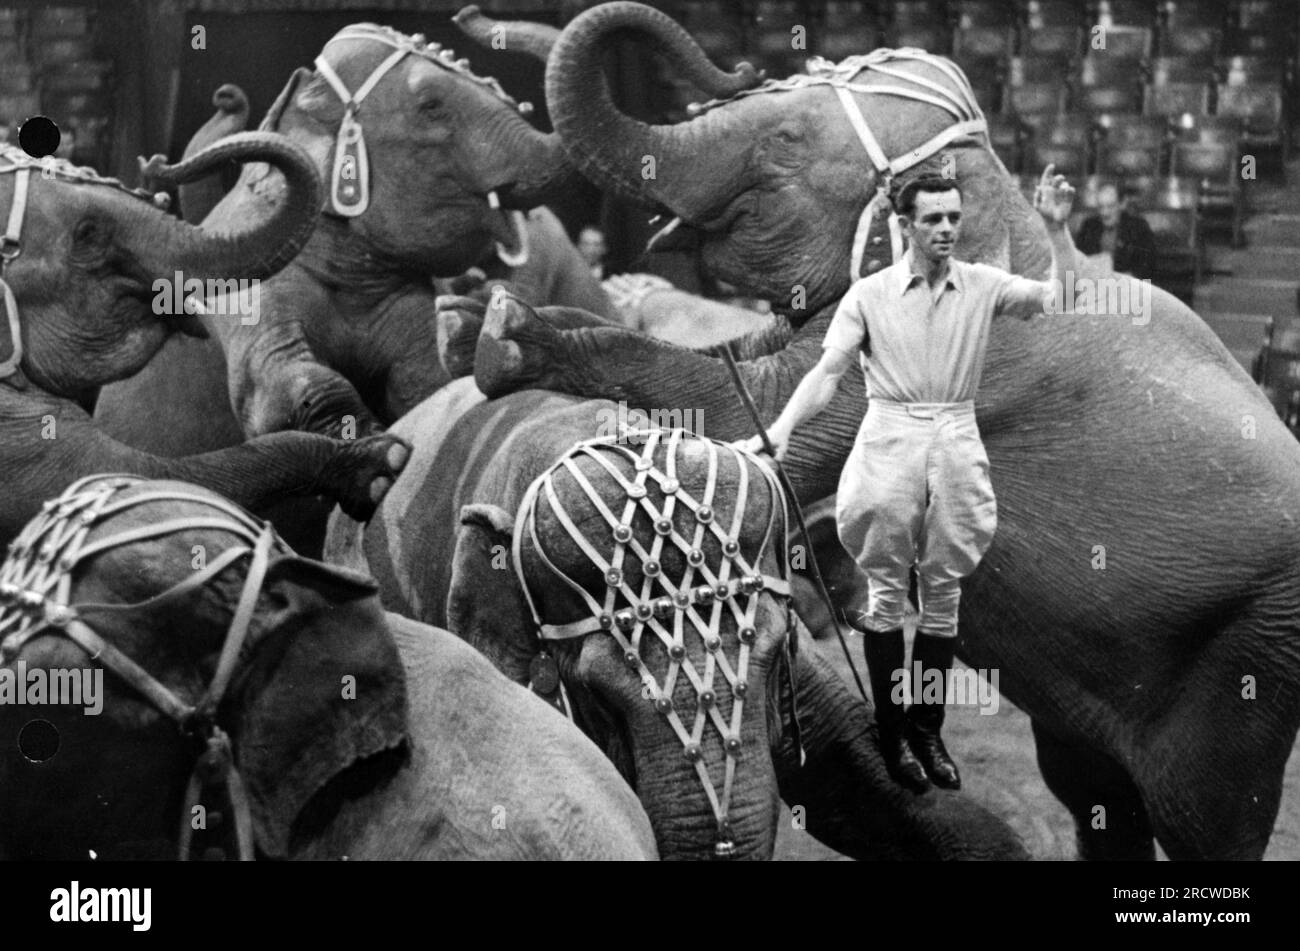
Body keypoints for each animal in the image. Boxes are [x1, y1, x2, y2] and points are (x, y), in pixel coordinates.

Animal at [462, 1, 1300, 862]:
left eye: (784, 142)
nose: (733, 68)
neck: (1004, 202)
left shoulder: (971, 358)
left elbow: (746, 406)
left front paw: (504, 332)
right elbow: (740, 361)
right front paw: (470, 318)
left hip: (1249, 650)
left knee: (1206, 815)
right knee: (1091, 786)